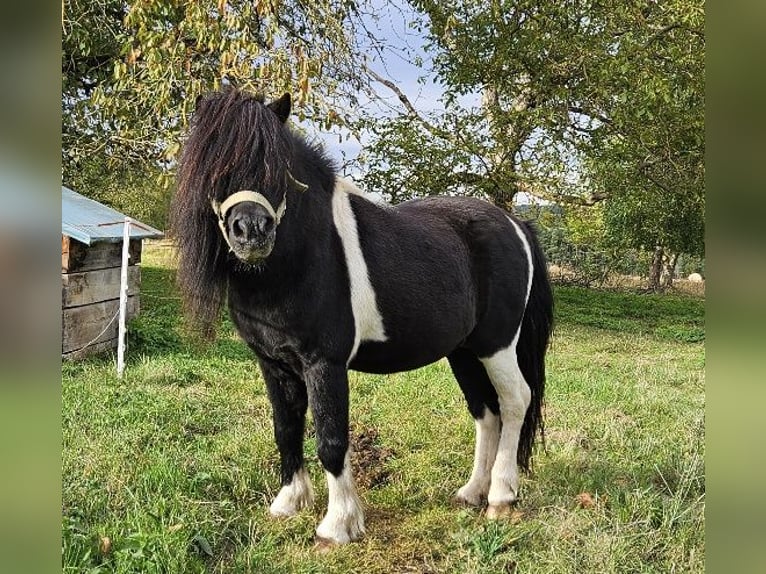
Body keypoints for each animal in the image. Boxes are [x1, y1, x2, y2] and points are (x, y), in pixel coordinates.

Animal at [170, 88, 552, 548]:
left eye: (278, 165)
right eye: (216, 164)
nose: (252, 231)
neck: (301, 258)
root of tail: (515, 223)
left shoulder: (325, 364)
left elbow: (331, 440)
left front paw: (338, 525)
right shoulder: (273, 363)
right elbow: (286, 429)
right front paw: (288, 503)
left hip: (497, 345)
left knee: (515, 401)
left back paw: (500, 497)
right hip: (463, 351)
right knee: (486, 412)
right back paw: (471, 493)